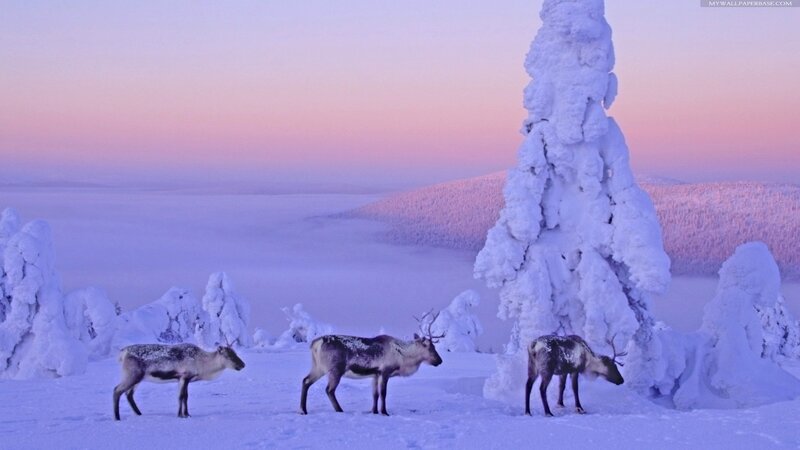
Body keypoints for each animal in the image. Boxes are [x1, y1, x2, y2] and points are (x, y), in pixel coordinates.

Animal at [113, 342, 245, 420]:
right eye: (228, 356)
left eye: (235, 353)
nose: (243, 365)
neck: (202, 363)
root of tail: (123, 353)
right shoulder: (184, 377)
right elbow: (181, 396)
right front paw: (180, 415)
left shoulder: (184, 379)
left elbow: (185, 397)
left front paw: (187, 414)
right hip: (132, 376)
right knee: (117, 390)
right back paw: (117, 417)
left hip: (137, 379)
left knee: (129, 394)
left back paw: (139, 414)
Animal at [300, 311, 444, 416]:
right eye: (430, 347)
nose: (440, 361)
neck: (403, 358)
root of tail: (315, 343)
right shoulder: (385, 371)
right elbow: (383, 393)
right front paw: (384, 412)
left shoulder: (375, 374)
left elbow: (375, 394)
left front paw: (374, 411)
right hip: (335, 369)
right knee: (329, 390)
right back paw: (339, 410)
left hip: (318, 367)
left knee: (305, 381)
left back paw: (303, 410)